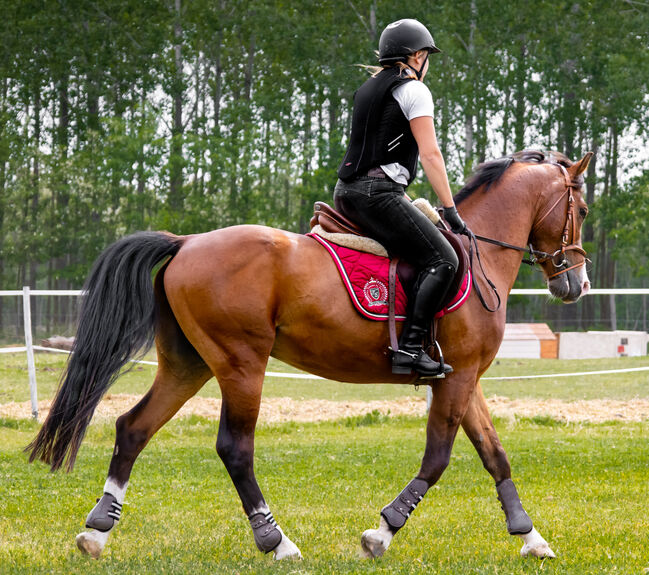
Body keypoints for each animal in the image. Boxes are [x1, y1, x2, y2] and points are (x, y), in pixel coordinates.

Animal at [26, 150, 592, 564]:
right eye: (582, 211)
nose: (578, 284)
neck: (481, 256)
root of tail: (186, 242)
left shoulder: (463, 378)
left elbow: (495, 454)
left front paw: (532, 537)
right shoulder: (455, 380)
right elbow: (437, 460)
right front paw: (381, 533)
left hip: (189, 365)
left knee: (133, 427)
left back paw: (97, 532)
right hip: (241, 364)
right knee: (235, 448)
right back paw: (277, 542)